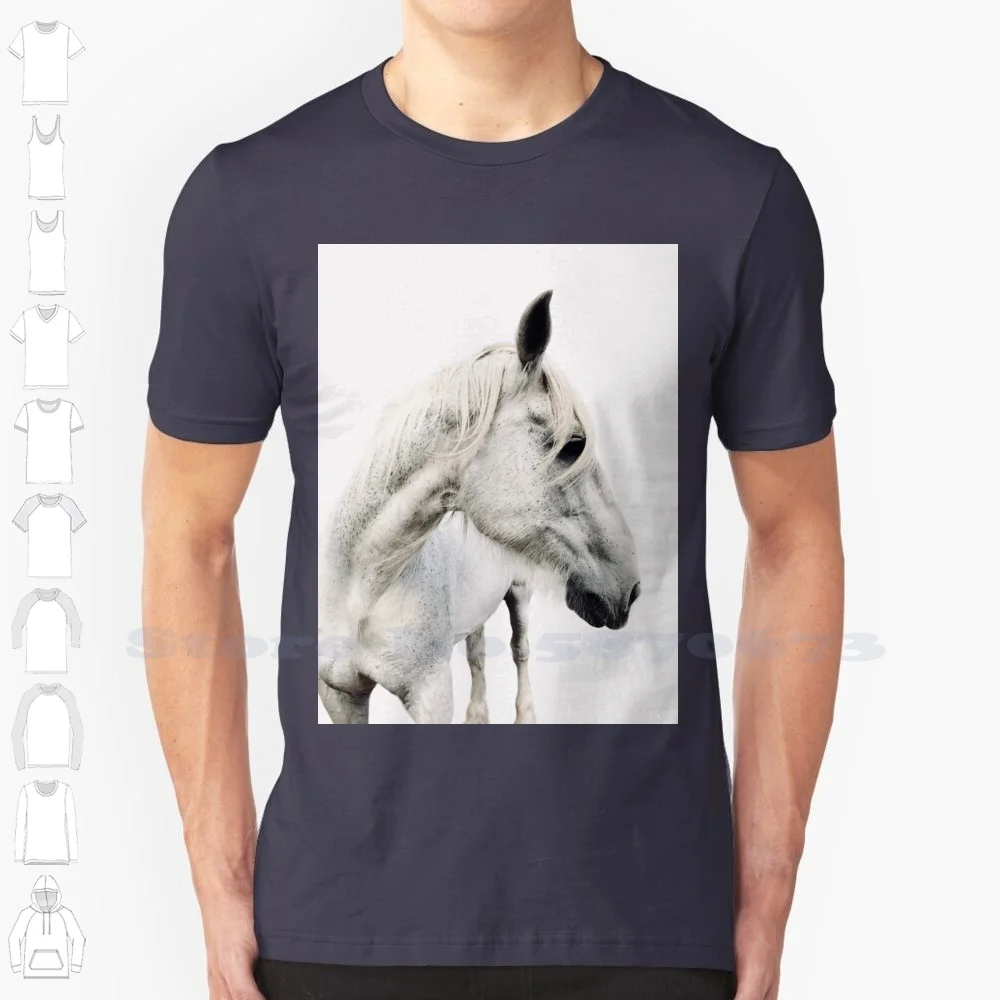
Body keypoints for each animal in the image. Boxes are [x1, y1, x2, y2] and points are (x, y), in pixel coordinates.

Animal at [318, 290, 640, 724]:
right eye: (574, 445)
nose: (631, 589)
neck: (361, 587)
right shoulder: (341, 695)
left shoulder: (431, 696)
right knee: (478, 654)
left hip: (519, 593)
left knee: (520, 652)